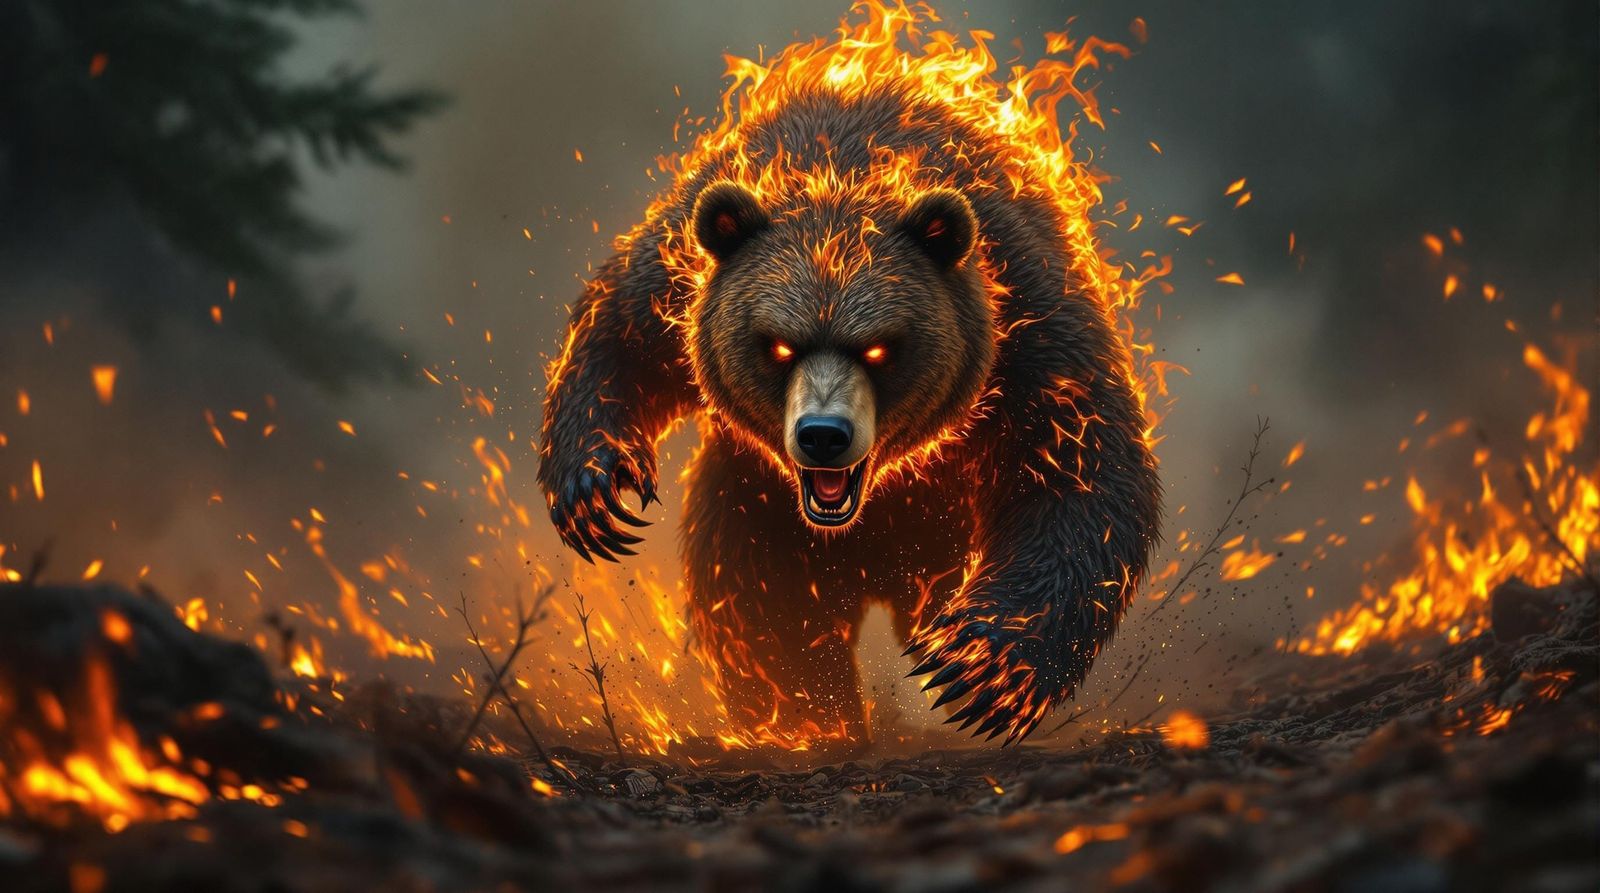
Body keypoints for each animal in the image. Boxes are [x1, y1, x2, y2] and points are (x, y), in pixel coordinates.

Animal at [538, 83, 1161, 745]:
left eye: (880, 348)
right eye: (779, 345)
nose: (823, 436)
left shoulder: (1026, 324)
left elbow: (1080, 472)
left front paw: (977, 666)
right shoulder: (683, 272)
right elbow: (619, 333)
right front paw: (596, 493)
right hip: (755, 503)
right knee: (761, 603)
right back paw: (809, 719)